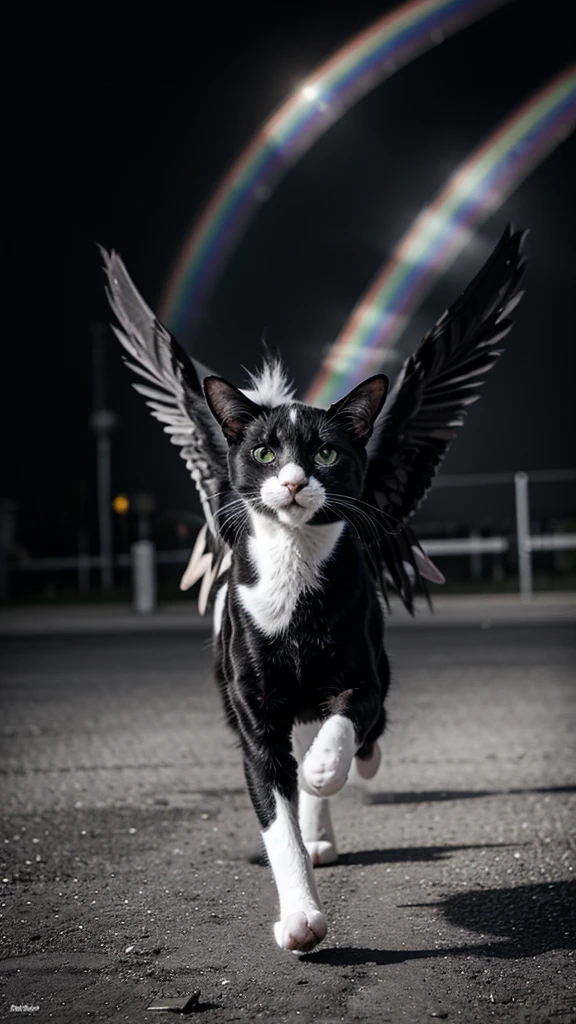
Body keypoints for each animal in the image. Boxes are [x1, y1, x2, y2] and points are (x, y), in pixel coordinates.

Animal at [101, 224, 524, 950]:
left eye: (325, 452)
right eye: (265, 453)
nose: (296, 481)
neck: (295, 571)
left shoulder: (361, 673)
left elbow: (345, 726)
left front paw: (330, 771)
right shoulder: (255, 723)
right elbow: (279, 824)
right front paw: (300, 917)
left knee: (357, 736)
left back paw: (338, 783)